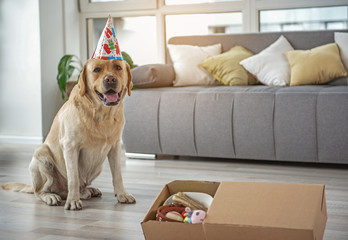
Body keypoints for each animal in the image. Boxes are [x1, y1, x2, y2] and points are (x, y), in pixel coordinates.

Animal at [1, 58, 135, 210]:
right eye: (96, 70)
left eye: (118, 67)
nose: (110, 79)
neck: (102, 115)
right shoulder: (70, 146)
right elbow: (73, 178)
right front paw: (73, 201)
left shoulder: (115, 146)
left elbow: (117, 174)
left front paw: (122, 194)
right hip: (41, 156)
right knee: (41, 191)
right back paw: (52, 196)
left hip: (98, 166)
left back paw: (88, 191)